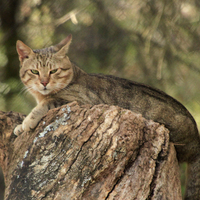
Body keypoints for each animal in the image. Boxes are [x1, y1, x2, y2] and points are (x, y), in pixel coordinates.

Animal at [14, 34, 200, 198]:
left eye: (53, 71)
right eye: (34, 71)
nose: (44, 82)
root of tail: (197, 139)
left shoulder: (80, 100)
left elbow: (46, 104)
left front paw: (27, 122)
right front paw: (20, 126)